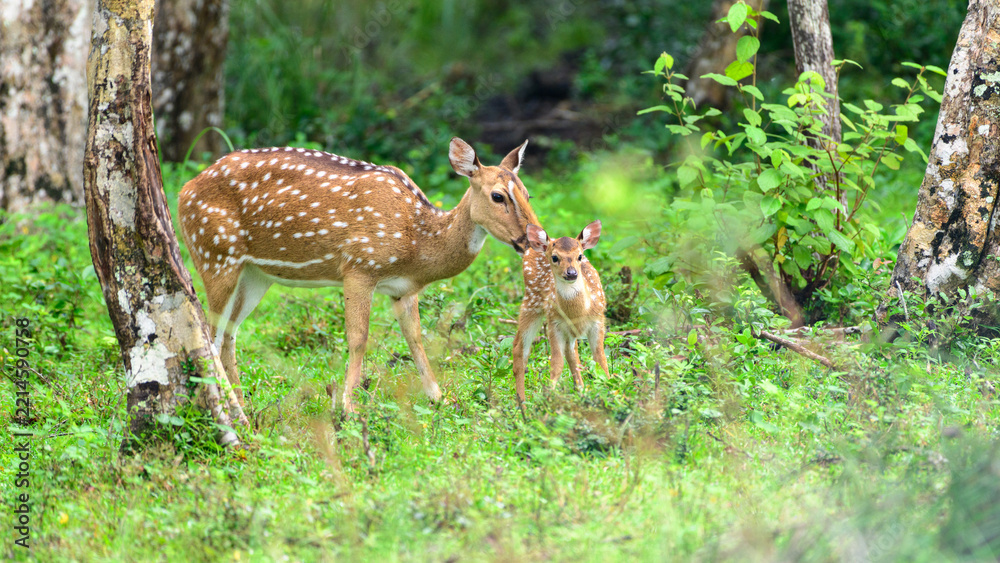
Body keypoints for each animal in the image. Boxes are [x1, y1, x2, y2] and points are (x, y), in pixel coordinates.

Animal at [178, 138, 539, 413]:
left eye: (527, 193)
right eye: (497, 196)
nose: (537, 238)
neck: (416, 243)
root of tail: (183, 192)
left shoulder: (403, 289)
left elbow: (415, 337)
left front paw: (439, 398)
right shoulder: (358, 266)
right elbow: (358, 338)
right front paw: (348, 407)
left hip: (255, 274)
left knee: (229, 332)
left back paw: (241, 403)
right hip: (215, 255)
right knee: (209, 332)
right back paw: (229, 408)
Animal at [511, 220, 610, 407]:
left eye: (580, 256)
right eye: (555, 257)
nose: (571, 273)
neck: (579, 311)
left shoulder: (598, 320)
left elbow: (600, 359)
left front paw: (611, 389)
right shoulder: (554, 323)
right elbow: (556, 363)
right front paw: (548, 397)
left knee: (572, 353)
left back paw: (581, 390)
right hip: (531, 302)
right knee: (519, 348)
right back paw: (522, 403)